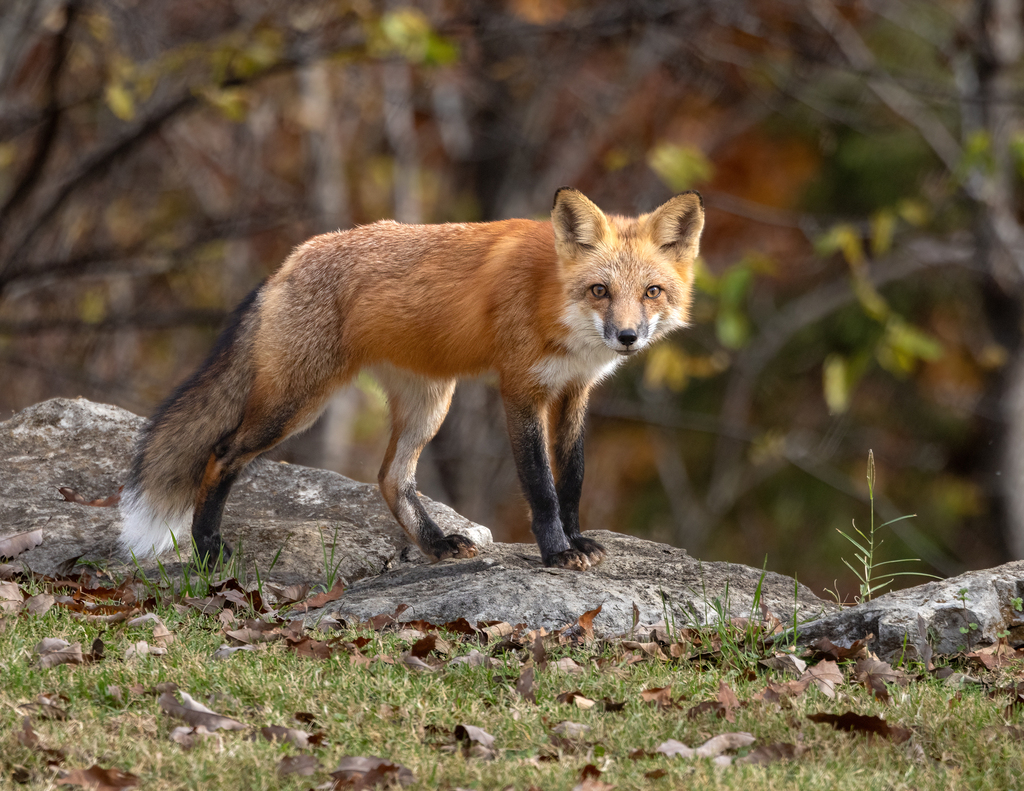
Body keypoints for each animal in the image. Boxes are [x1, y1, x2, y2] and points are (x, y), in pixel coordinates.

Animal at [119, 187, 705, 570]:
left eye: (651, 291)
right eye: (600, 290)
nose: (627, 337)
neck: (552, 300)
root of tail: (288, 262)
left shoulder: (574, 391)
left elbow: (573, 478)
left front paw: (576, 539)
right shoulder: (521, 389)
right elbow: (540, 484)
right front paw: (556, 550)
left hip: (429, 403)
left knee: (390, 477)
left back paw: (435, 544)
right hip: (296, 403)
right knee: (221, 452)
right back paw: (207, 548)